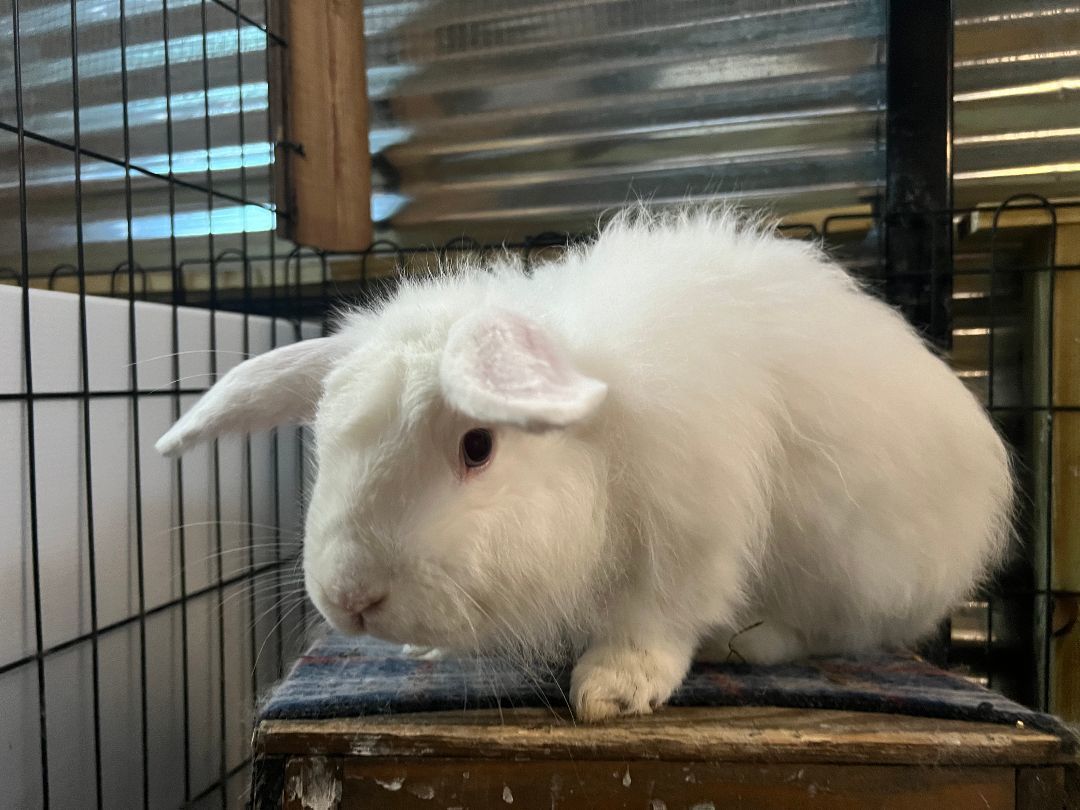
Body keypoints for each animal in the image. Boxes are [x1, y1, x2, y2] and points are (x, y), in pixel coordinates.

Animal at [156, 207, 1013, 722]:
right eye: (327, 442)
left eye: (478, 447)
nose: (350, 600)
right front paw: (424, 649)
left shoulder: (691, 532)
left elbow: (654, 619)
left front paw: (612, 691)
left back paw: (744, 644)